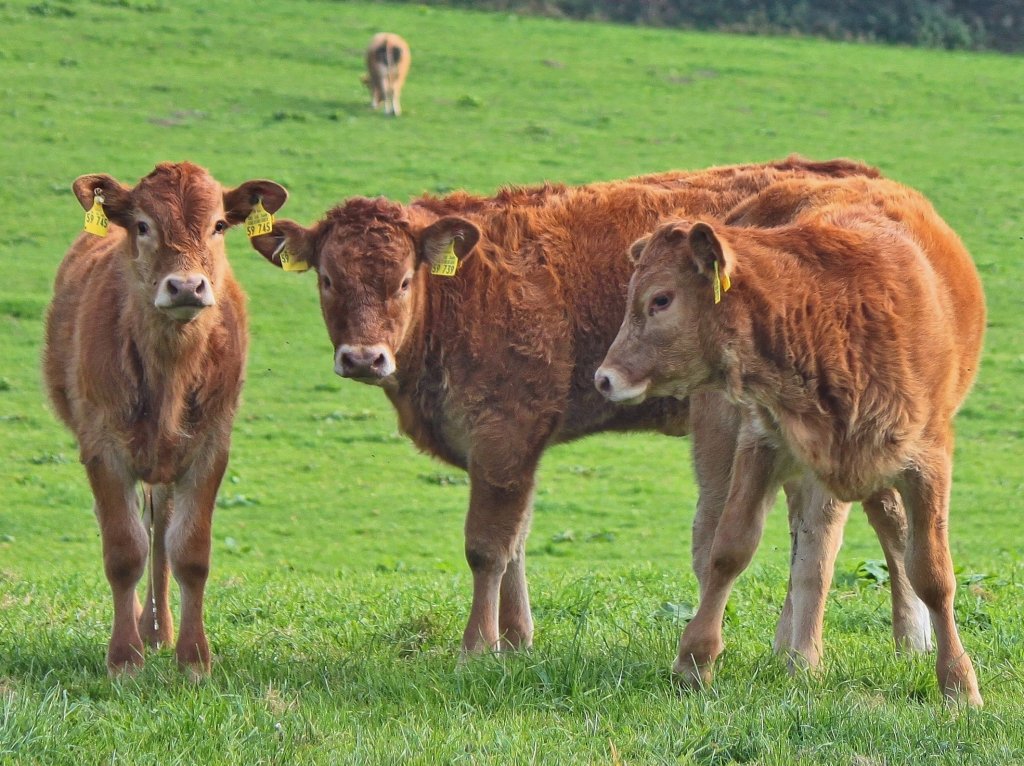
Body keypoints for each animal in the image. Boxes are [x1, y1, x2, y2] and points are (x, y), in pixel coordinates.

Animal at [43, 161, 288, 675]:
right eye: (142, 225)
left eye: (219, 225)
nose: (186, 286)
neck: (169, 373)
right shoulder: (102, 448)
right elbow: (122, 551)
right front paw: (124, 658)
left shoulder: (210, 447)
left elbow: (190, 553)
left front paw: (193, 659)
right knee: (137, 531)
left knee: (160, 533)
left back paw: (159, 631)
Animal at [247, 158, 929, 659]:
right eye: (328, 280)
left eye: (404, 281)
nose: (364, 358)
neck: (463, 294)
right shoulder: (506, 449)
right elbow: (517, 542)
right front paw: (517, 639)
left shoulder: (504, 434)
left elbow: (487, 546)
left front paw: (478, 647)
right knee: (855, 520)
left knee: (869, 521)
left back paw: (887, 639)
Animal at [598, 176, 987, 704]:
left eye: (661, 299)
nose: (605, 378)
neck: (827, 313)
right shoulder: (762, 444)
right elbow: (730, 549)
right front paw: (694, 660)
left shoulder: (927, 460)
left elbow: (932, 571)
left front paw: (959, 684)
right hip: (733, 443)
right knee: (772, 538)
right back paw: (798, 653)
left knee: (858, 535)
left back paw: (845, 649)